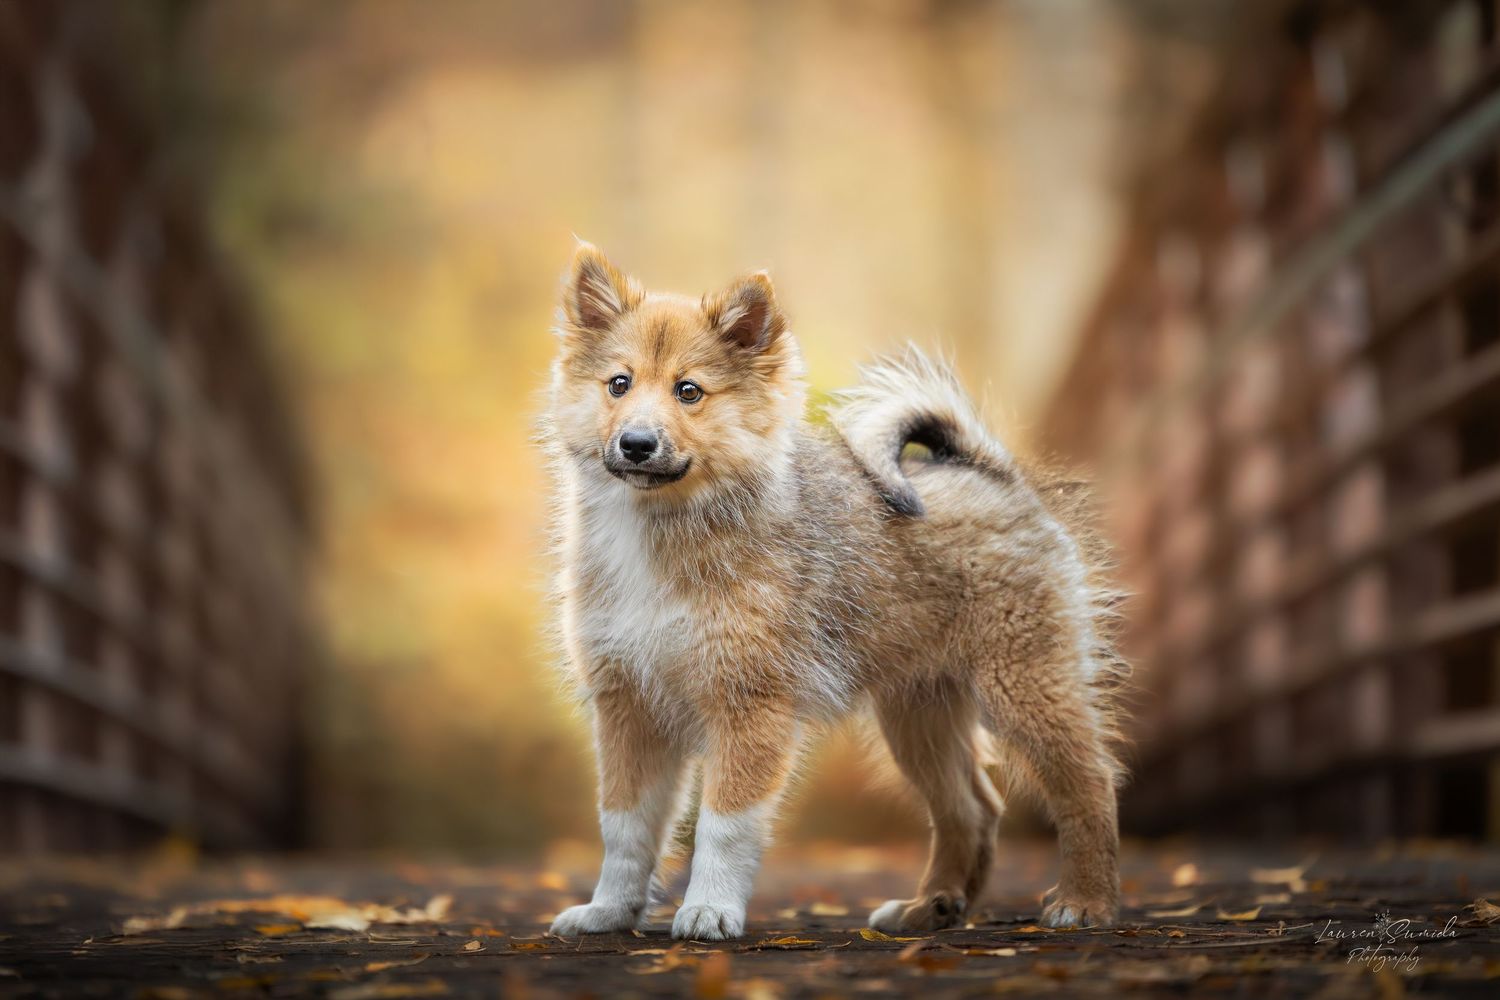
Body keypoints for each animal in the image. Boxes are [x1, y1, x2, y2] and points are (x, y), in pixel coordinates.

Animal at [541, 242, 1127, 941]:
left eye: (689, 392)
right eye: (619, 385)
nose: (635, 444)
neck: (663, 530)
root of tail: (994, 473)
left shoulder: (750, 707)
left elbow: (723, 827)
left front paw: (709, 910)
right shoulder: (628, 707)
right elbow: (625, 827)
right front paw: (610, 910)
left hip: (1025, 687)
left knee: (1089, 783)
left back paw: (1086, 901)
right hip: (919, 715)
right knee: (972, 807)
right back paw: (931, 906)